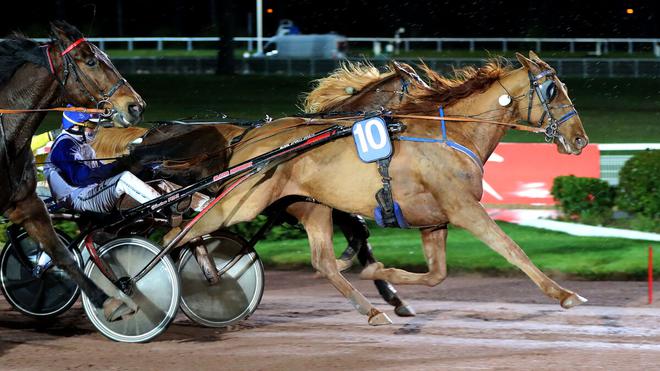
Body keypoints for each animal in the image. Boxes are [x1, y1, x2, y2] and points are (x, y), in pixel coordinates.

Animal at [150, 52, 588, 326]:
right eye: (553, 90)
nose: (580, 140)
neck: (452, 134)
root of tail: (249, 138)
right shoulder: (464, 208)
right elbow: (511, 249)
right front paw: (565, 294)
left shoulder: (433, 221)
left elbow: (436, 275)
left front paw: (380, 274)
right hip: (242, 202)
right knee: (179, 231)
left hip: (312, 206)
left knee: (323, 262)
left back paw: (372, 310)